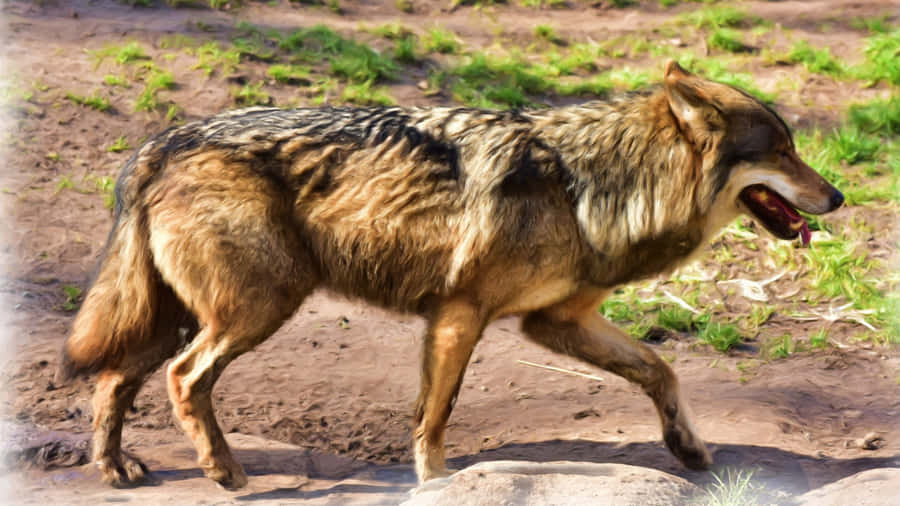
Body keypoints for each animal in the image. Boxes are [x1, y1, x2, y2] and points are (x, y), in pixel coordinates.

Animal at [58, 60, 843, 489]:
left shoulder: (557, 321)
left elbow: (660, 370)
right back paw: (222, 473)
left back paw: (116, 470)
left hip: (185, 315)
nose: (838, 197)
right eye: (782, 150)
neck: (592, 182)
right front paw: (435, 482)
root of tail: (166, 137)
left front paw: (689, 448)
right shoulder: (459, 315)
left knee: (113, 377)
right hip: (254, 310)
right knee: (182, 379)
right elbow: (434, 414)